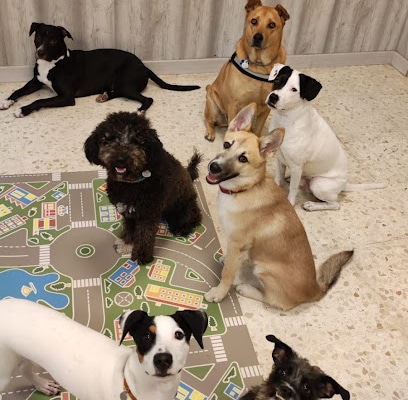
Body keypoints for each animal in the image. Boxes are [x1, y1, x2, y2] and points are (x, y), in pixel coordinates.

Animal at [84, 111, 202, 264]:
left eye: (137, 140)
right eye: (110, 138)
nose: (120, 158)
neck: (130, 183)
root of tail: (188, 174)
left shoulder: (148, 214)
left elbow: (145, 235)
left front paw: (142, 255)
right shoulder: (127, 210)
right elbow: (129, 228)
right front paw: (126, 243)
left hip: (183, 207)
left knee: (195, 217)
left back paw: (182, 227)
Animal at [206, 103, 352, 310]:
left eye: (243, 159)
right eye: (227, 145)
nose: (214, 167)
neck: (245, 189)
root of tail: (315, 289)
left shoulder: (237, 242)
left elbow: (227, 273)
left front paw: (219, 293)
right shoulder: (237, 244)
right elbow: (233, 260)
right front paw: (228, 259)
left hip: (264, 270)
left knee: (273, 300)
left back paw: (246, 288)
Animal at [266, 63, 384, 209]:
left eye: (294, 89)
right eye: (277, 80)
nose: (273, 97)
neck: (286, 120)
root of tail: (344, 184)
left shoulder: (296, 166)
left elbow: (292, 190)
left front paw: (290, 203)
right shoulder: (280, 159)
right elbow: (278, 177)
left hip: (318, 184)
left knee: (335, 204)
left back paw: (312, 205)